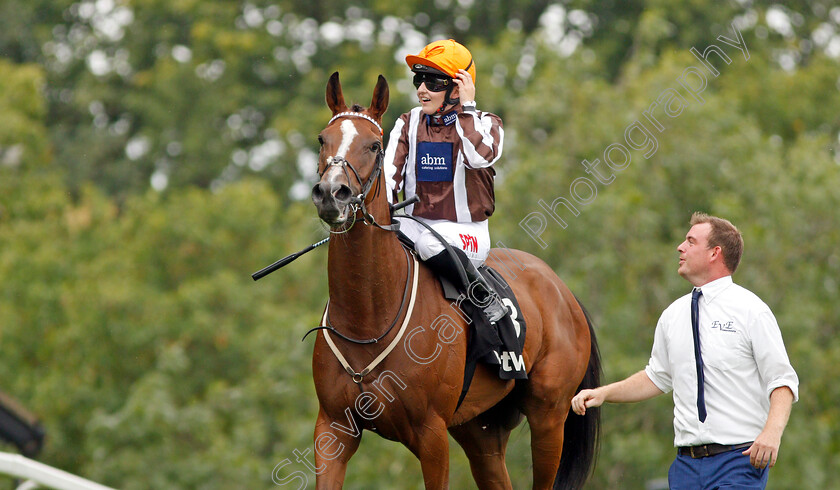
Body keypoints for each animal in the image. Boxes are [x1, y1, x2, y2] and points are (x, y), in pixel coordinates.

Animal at [308, 71, 604, 488]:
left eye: (374, 144)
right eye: (323, 139)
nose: (331, 194)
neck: (368, 319)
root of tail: (564, 292)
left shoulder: (431, 435)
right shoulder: (333, 431)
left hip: (549, 416)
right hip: (480, 430)